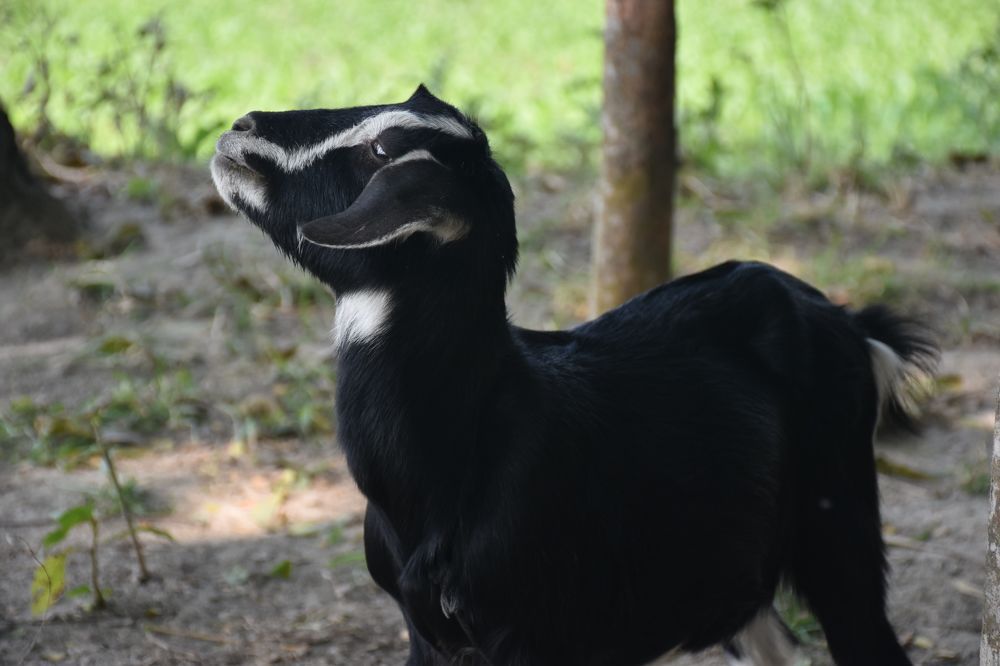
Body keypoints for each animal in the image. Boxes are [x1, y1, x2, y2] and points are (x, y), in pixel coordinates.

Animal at [211, 85, 936, 666]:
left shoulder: (532, 632)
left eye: (383, 147)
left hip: (837, 519)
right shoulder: (427, 631)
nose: (240, 128)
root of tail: (845, 321)